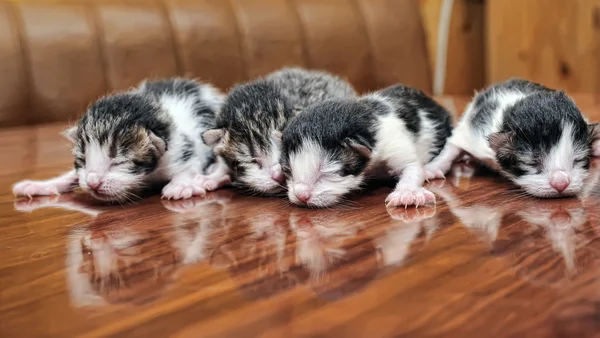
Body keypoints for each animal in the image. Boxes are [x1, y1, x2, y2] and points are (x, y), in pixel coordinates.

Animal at [12, 78, 227, 202]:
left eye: (119, 162)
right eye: (83, 160)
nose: (92, 183)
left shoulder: (187, 150)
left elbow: (188, 167)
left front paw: (180, 186)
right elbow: (71, 175)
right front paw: (41, 185)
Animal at [426, 79, 600, 198]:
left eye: (578, 160)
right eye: (531, 163)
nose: (561, 183)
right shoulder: (473, 133)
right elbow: (453, 146)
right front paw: (432, 168)